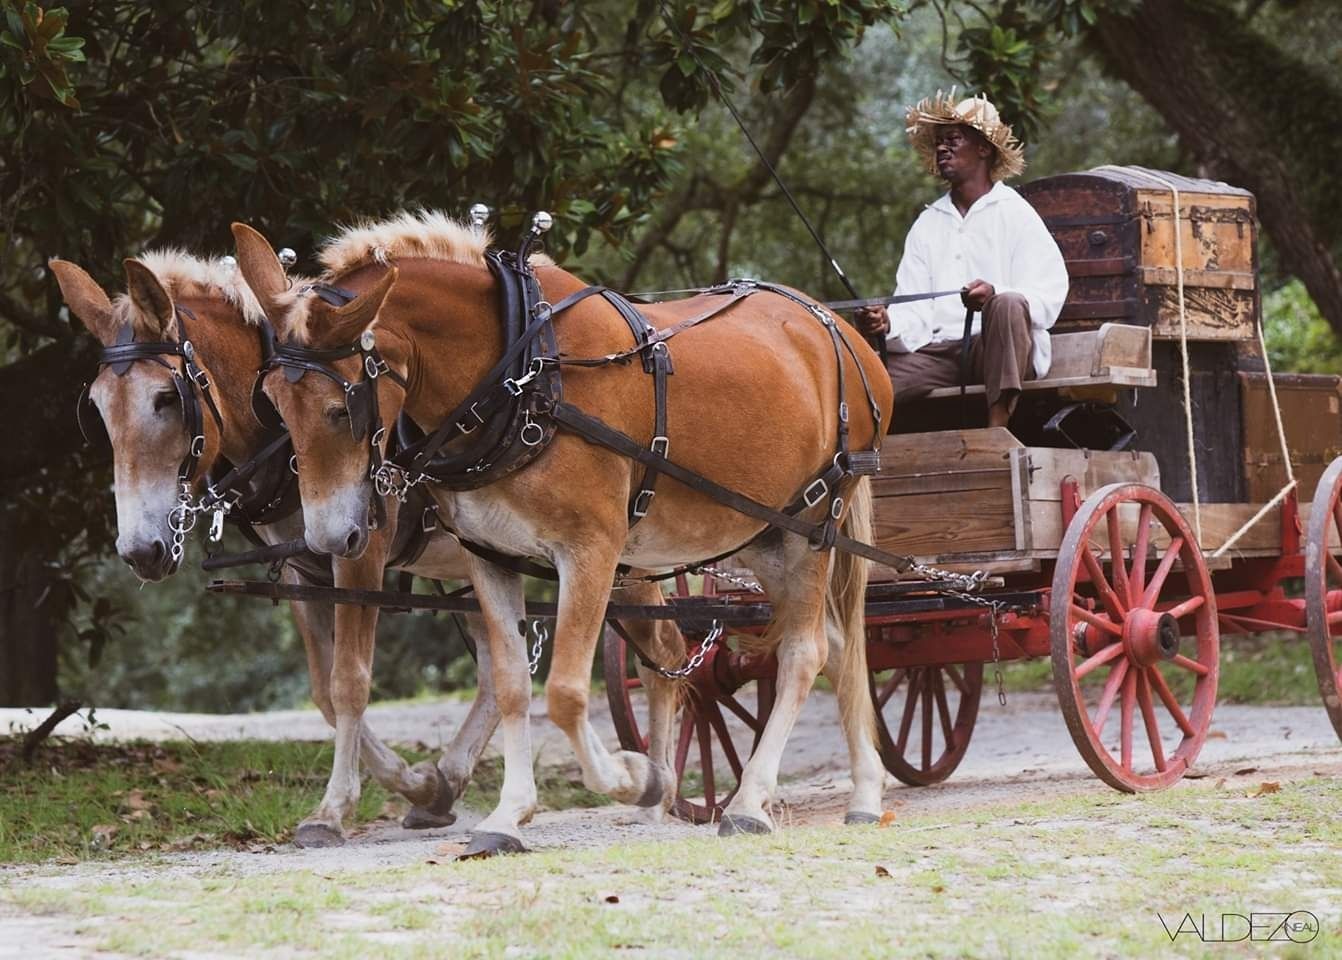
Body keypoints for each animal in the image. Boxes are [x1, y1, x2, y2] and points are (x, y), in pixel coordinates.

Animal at [50, 252, 503, 841]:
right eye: (99, 410)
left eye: (166, 398)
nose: (141, 551)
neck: (283, 436)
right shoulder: (301, 571)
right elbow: (324, 691)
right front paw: (421, 785)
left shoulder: (360, 552)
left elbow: (349, 681)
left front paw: (333, 809)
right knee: (497, 662)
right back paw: (449, 777)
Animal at [232, 211, 893, 854]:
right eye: (272, 403)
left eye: (340, 409)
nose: (327, 541)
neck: (521, 374)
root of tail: (841, 330)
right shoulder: (489, 557)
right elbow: (511, 688)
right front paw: (508, 815)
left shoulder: (590, 553)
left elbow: (567, 693)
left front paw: (636, 778)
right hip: (764, 535)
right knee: (839, 645)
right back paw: (864, 793)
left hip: (814, 527)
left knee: (804, 653)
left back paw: (751, 802)